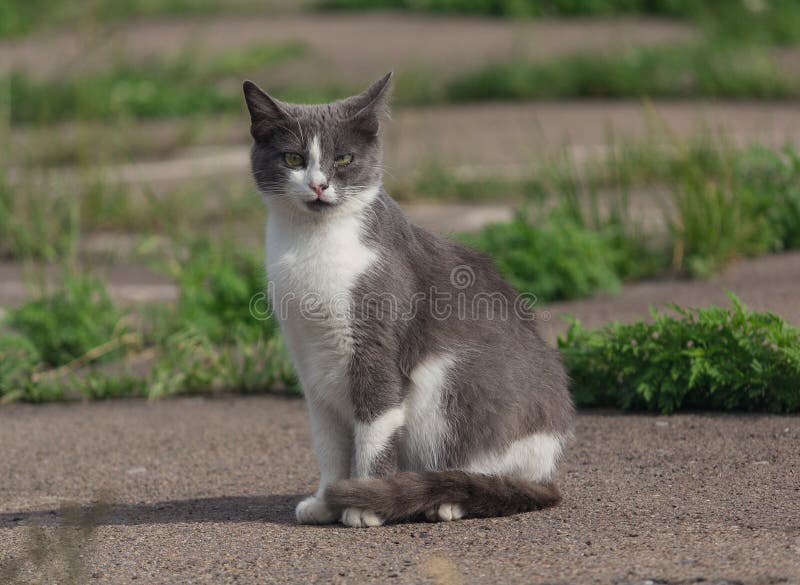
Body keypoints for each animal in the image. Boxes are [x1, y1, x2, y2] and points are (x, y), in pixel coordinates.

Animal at [241, 70, 572, 528]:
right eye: (292, 159)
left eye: (343, 159)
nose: (318, 185)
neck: (312, 247)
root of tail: (549, 465)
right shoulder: (310, 363)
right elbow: (328, 444)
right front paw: (327, 501)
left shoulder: (376, 349)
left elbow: (374, 434)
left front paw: (364, 502)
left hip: (450, 385)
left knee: (486, 471)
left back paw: (447, 499)